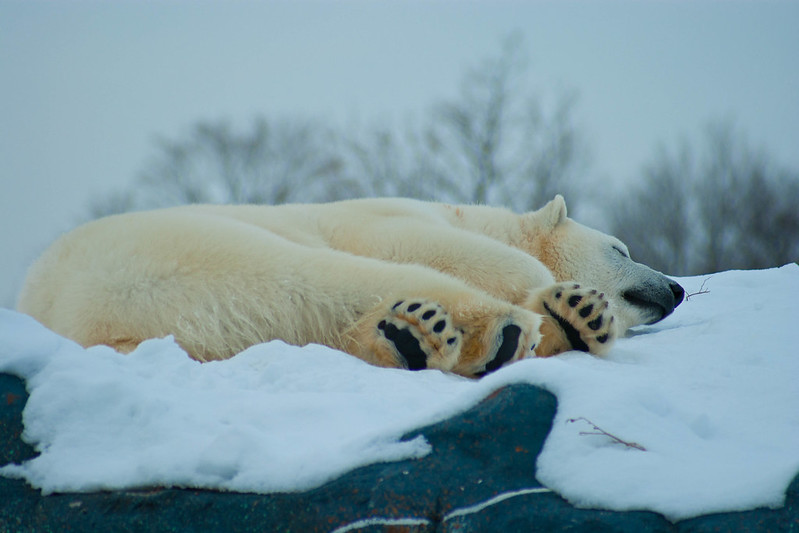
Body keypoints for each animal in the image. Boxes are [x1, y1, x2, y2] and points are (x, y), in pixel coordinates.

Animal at [15, 196, 684, 378]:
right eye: (622, 249)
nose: (675, 289)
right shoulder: (386, 217)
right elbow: (434, 247)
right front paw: (556, 292)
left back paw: (412, 336)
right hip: (181, 250)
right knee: (322, 277)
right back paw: (519, 326)